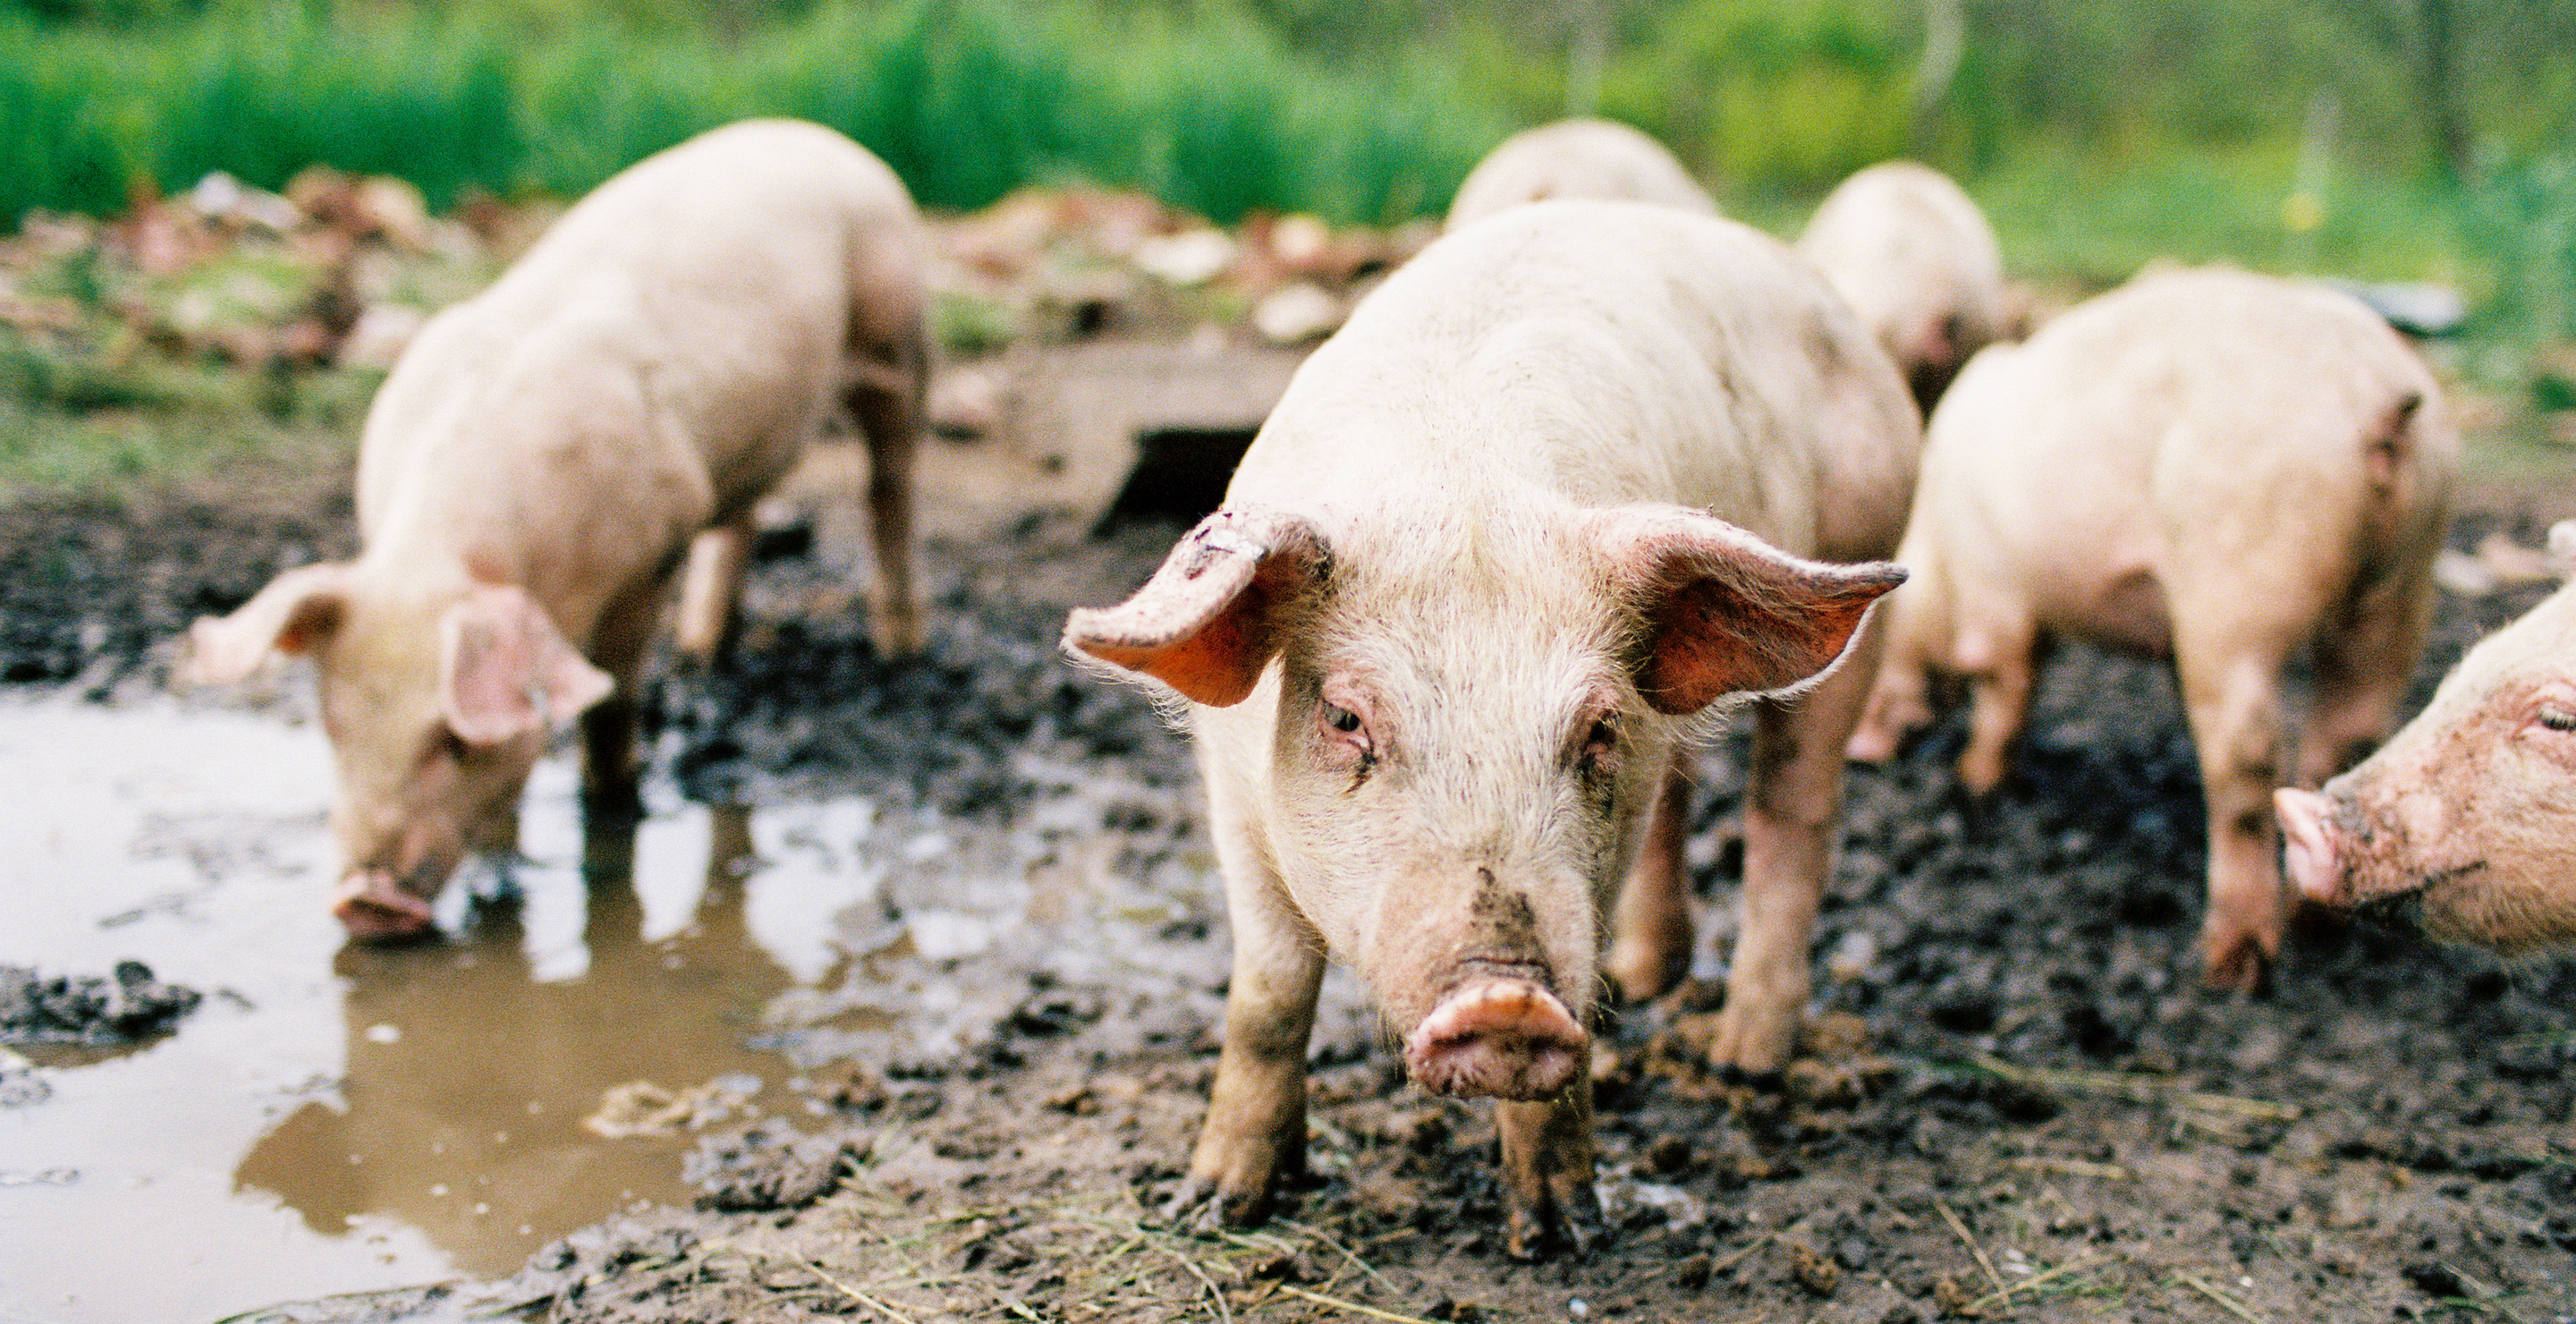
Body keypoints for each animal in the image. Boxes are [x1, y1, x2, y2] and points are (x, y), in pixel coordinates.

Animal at [179, 118, 929, 941]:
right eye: (333, 730)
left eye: (451, 741)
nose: (365, 902)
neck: (455, 553)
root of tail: (817, 134)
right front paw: (499, 888)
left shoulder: (653, 551)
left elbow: (613, 696)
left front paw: (614, 805)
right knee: (745, 517)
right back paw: (702, 653)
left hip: (897, 333)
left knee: (890, 485)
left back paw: (900, 649)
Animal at [1064, 200, 1917, 1256]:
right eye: (1346, 717)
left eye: (1595, 729)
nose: (1507, 996)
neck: (1455, 479)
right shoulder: (1232, 798)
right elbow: (1269, 992)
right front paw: (1214, 1205)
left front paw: (1560, 1234)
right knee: (1685, 801)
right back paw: (1645, 980)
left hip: (1864, 555)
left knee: (1791, 818)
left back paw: (1741, 1063)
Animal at [1845, 266, 2458, 990]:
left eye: (1876, 634)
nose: (1860, 753)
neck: (1940, 542)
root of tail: (2376, 396)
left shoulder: (1999, 594)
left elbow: (2005, 689)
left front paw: (1975, 781)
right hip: (2404, 582)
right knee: (2352, 729)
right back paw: (2311, 922)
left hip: (2237, 586)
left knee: (2247, 753)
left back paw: (2230, 964)